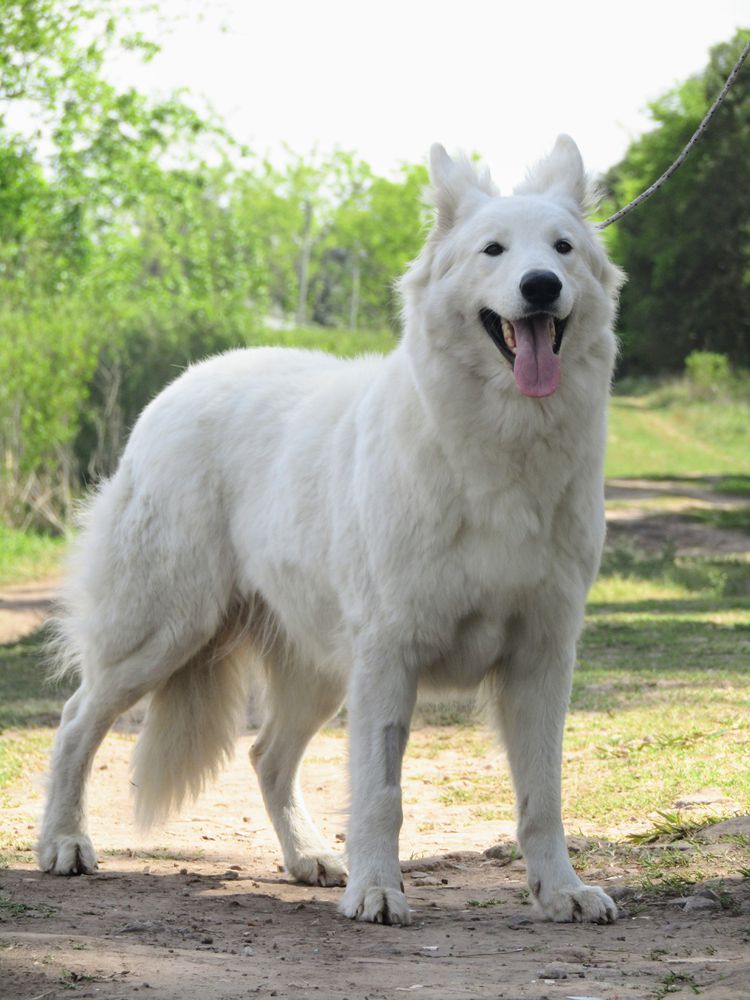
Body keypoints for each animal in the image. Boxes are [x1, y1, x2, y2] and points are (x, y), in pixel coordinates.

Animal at [39, 135, 624, 928]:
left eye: (562, 248)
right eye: (494, 250)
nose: (539, 286)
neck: (501, 448)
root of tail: (179, 384)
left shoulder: (542, 657)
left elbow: (543, 796)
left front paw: (561, 891)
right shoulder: (388, 653)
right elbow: (381, 794)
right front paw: (377, 891)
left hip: (313, 669)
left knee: (266, 757)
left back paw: (309, 857)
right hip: (162, 631)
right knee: (75, 721)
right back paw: (63, 843)